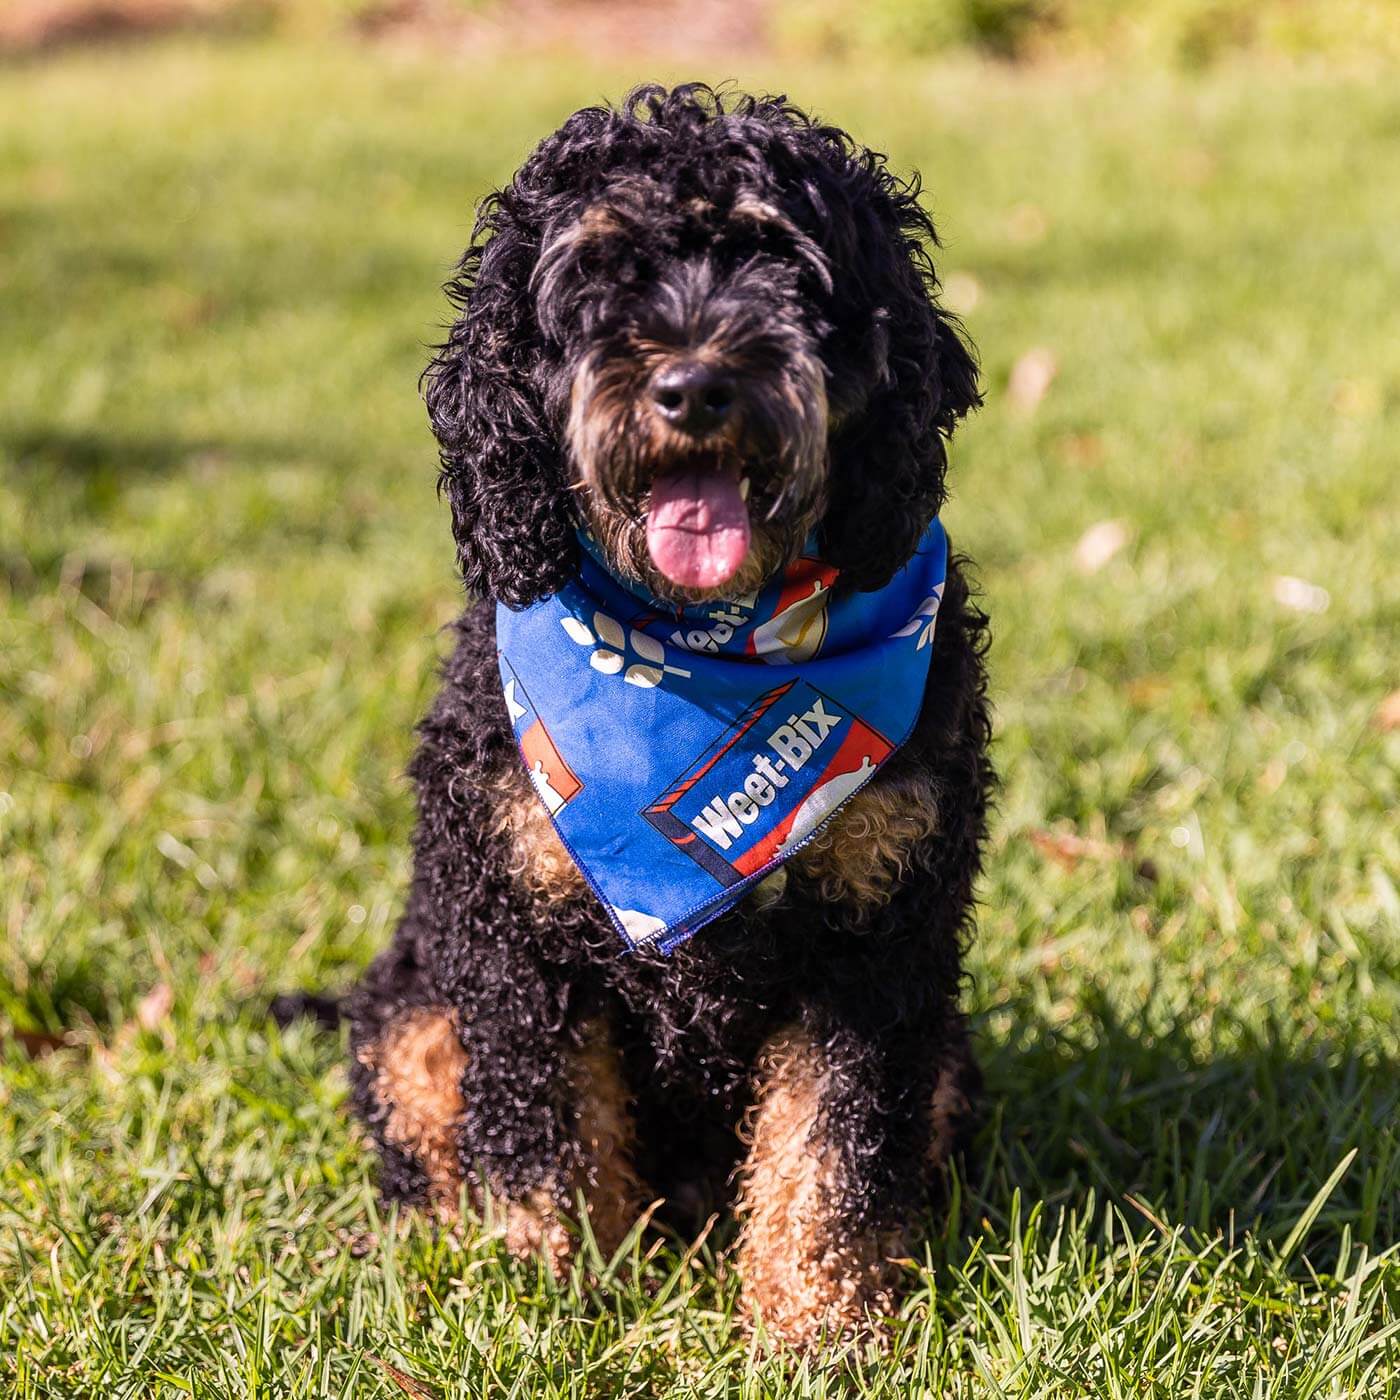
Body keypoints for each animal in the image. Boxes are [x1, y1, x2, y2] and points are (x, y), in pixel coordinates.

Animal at [334, 84, 991, 1344]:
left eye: (780, 261)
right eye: (597, 274)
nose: (692, 386)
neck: (696, 662)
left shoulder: (873, 945)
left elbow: (828, 1150)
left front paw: (819, 1324)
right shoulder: (518, 939)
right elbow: (542, 1136)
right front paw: (554, 1296)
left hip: (941, 1049)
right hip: (413, 1012)